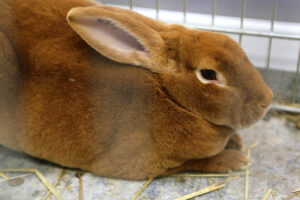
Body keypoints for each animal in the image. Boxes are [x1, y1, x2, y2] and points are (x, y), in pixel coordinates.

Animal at [0, 0, 272, 180]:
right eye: (208, 74)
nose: (267, 101)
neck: (169, 95)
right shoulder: (144, 164)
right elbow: (197, 163)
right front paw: (236, 160)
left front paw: (236, 142)